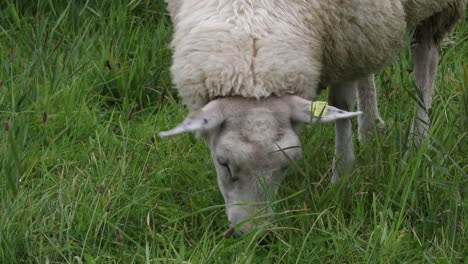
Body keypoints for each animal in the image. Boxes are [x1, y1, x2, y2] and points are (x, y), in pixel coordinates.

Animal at [160, 0, 464, 235]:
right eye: (222, 163)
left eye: (286, 166)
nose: (252, 236)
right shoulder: (349, 34)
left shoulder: (343, 38)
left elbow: (340, 105)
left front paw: (341, 178)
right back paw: (370, 128)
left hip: (434, 10)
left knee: (425, 60)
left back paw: (417, 145)